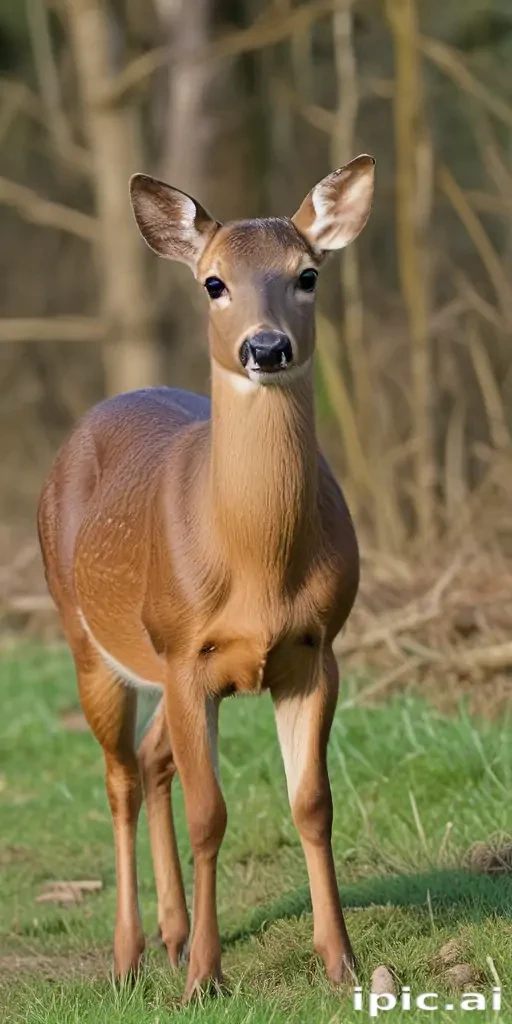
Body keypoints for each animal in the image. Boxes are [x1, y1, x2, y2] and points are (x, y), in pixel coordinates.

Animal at [37, 153, 375, 1000]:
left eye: (307, 274)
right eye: (214, 282)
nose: (267, 347)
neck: (254, 564)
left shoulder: (315, 650)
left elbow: (311, 803)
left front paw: (341, 961)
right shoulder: (186, 652)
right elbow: (210, 815)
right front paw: (205, 980)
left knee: (152, 757)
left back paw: (172, 934)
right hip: (91, 640)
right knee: (121, 777)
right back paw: (129, 957)